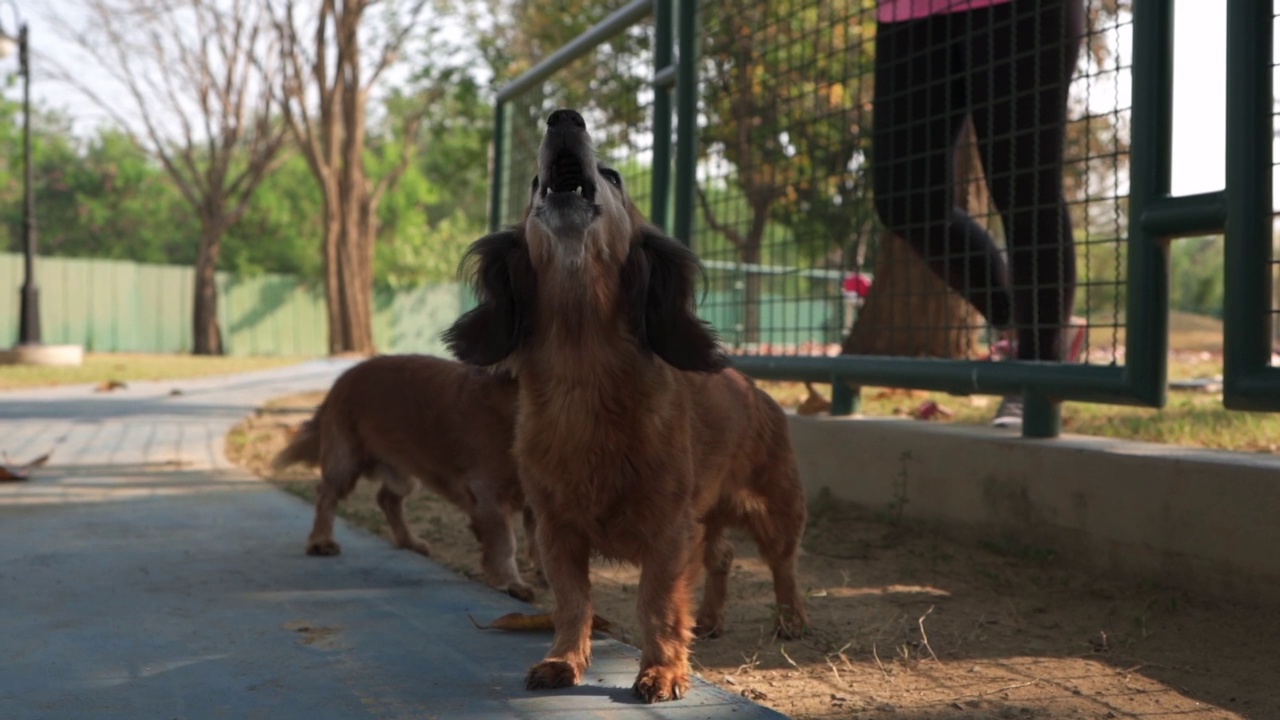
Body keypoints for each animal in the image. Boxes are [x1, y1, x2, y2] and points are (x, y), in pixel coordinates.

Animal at [272, 351, 537, 597]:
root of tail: (347, 375)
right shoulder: (487, 492)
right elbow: (504, 543)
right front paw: (511, 582)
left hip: (403, 476)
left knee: (387, 499)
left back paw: (408, 541)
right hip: (344, 462)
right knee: (326, 495)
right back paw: (320, 540)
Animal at [445, 109, 803, 696]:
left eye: (614, 177)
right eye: (532, 184)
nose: (563, 116)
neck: (585, 371)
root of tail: (754, 390)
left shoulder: (668, 534)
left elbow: (656, 605)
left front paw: (662, 669)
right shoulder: (558, 532)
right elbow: (574, 603)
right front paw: (564, 660)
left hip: (776, 508)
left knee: (783, 566)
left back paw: (791, 618)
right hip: (710, 518)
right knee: (723, 556)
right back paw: (711, 618)